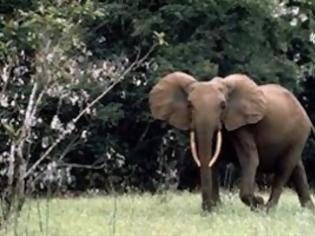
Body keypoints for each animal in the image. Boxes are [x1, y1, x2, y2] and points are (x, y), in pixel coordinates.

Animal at [149, 72, 315, 212]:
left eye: (223, 106)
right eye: (189, 105)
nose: (205, 209)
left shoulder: (242, 125)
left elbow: (250, 159)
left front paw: (258, 203)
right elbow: (211, 159)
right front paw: (215, 209)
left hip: (299, 133)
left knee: (285, 168)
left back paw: (268, 210)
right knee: (297, 167)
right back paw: (308, 210)